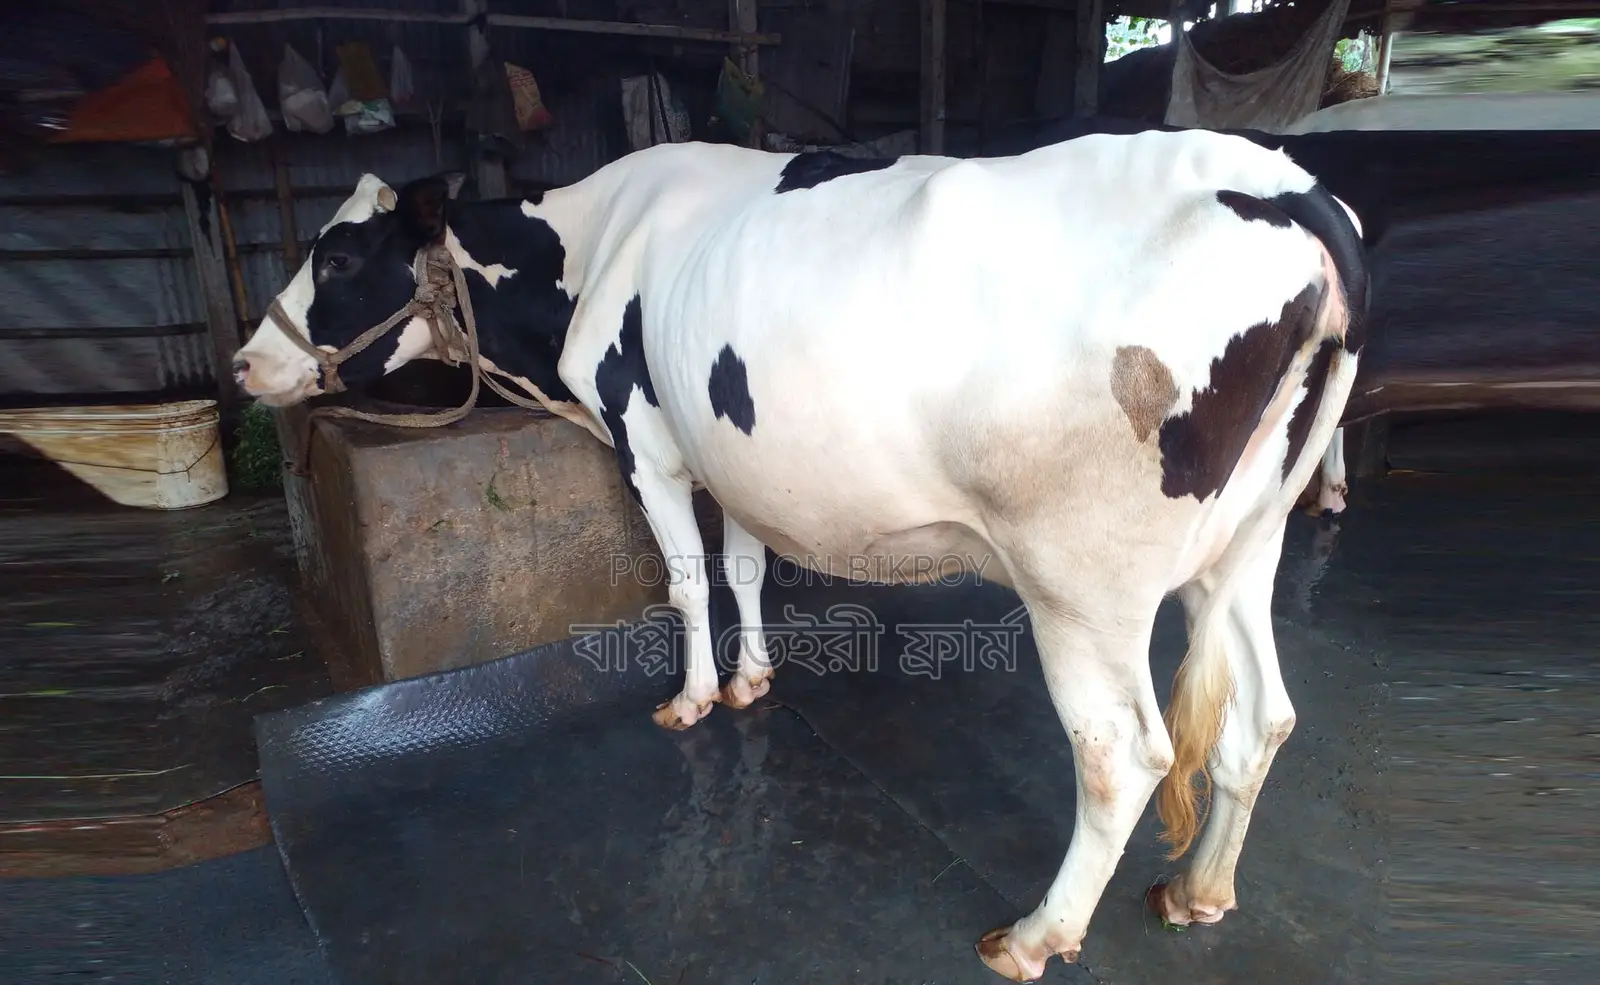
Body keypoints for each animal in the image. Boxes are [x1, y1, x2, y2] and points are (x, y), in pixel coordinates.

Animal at [234, 130, 1368, 982]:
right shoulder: (731, 458)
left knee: (1123, 753)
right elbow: (741, 569)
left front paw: (693, 697)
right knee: (1263, 716)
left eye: (337, 259)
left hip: (1083, 581)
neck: (593, 245)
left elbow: (687, 579)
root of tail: (1286, 184)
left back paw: (1036, 934)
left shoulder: (645, 439)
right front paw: (752, 681)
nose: (245, 363)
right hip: (1245, 543)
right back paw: (1197, 891)